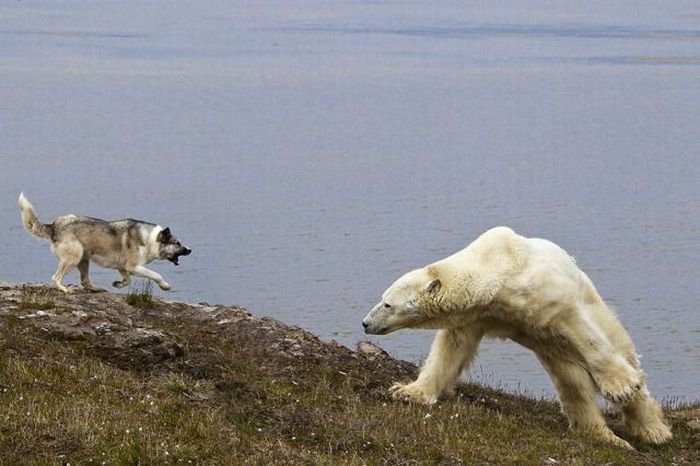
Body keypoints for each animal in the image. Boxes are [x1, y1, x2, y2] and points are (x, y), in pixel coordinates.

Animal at [18, 192, 191, 294]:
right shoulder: (133, 267)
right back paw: (64, 289)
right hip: (74, 257)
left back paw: (96, 289)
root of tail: (55, 225)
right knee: (55, 277)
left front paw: (118, 284)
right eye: (177, 243)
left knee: (85, 282)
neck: (150, 239)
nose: (190, 250)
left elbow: (128, 280)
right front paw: (165, 286)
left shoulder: (123, 267)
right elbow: (156, 275)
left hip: (83, 259)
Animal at [360, 226, 672, 448]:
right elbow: (450, 350)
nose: (365, 323)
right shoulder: (480, 315)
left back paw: (653, 430)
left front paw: (620, 387)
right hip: (556, 354)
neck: (499, 265)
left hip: (606, 320)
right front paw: (408, 391)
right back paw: (600, 434)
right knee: (573, 384)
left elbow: (580, 330)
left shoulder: (546, 295)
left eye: (387, 304)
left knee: (625, 364)